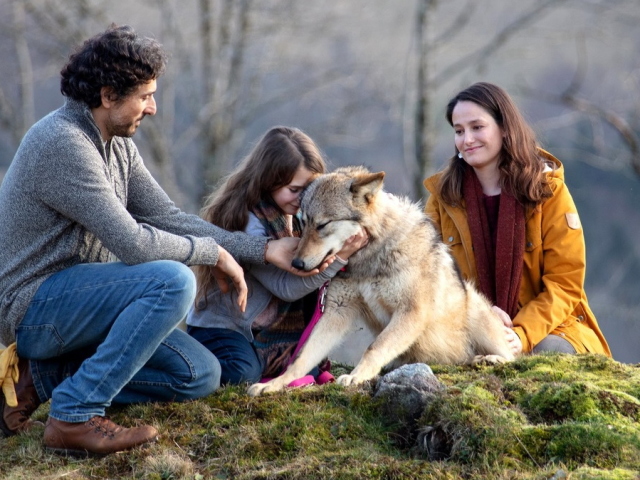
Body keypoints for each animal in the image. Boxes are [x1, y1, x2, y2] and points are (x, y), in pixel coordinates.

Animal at [248, 167, 512, 396]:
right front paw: (274, 384)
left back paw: (489, 359)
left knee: (511, 355)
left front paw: (356, 376)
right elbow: (301, 358)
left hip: (476, 312)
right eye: (302, 223)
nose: (296, 264)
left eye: (322, 225)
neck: (368, 258)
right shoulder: (337, 311)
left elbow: (375, 347)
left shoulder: (411, 311)